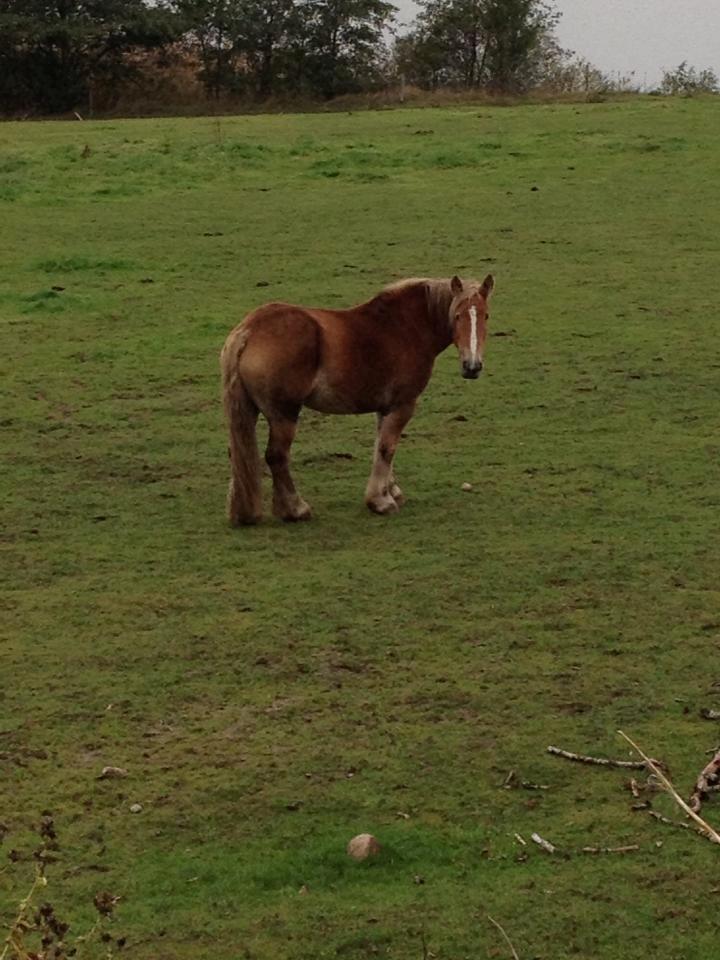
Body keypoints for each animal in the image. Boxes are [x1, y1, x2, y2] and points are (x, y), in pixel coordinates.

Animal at [221, 270, 496, 524]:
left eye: (485, 315)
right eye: (457, 315)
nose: (472, 366)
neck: (405, 327)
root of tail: (248, 331)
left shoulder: (385, 408)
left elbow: (381, 446)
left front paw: (391, 491)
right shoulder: (403, 405)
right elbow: (387, 447)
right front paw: (380, 501)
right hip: (284, 414)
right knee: (276, 456)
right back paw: (295, 509)